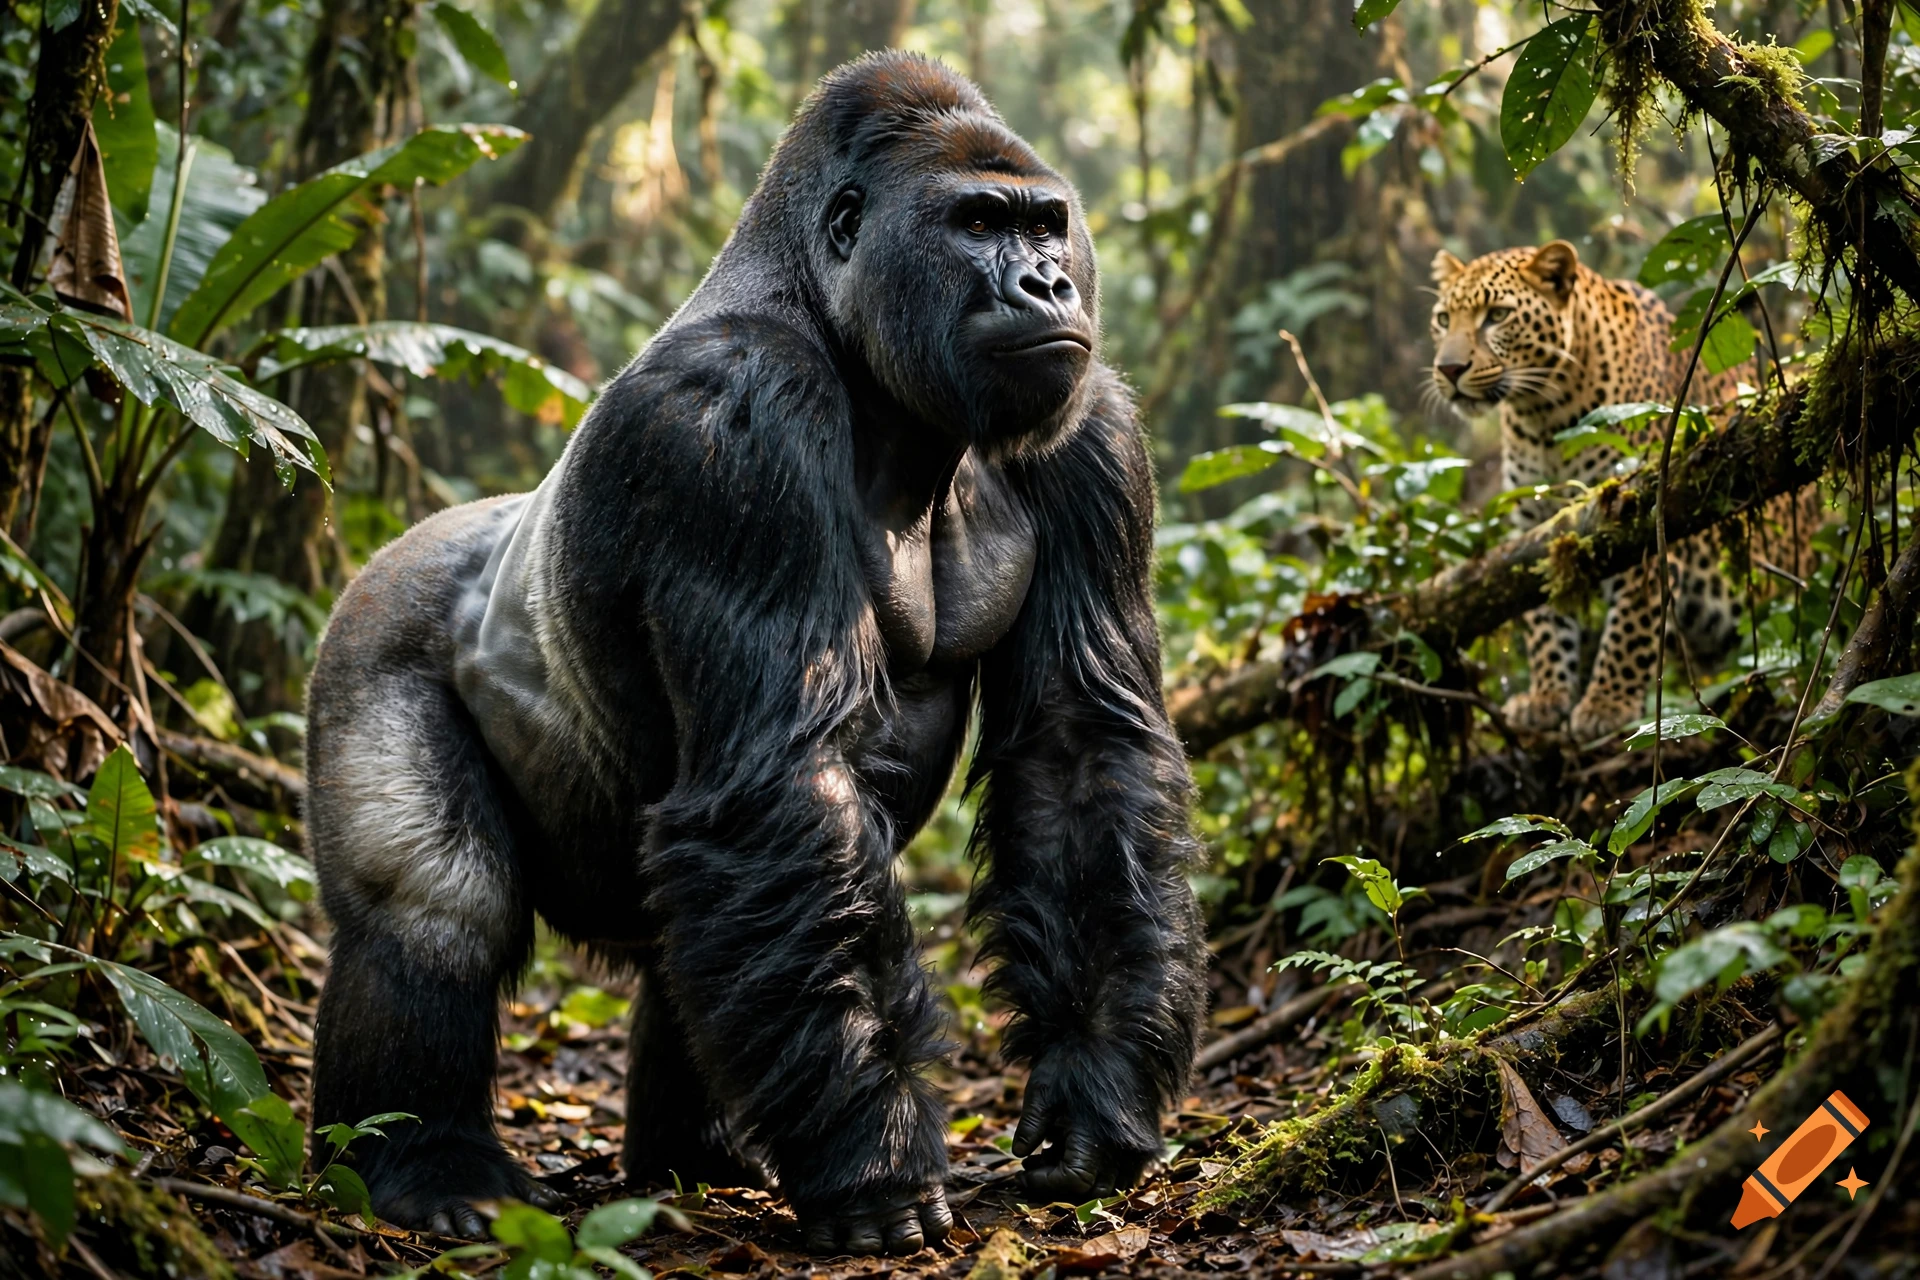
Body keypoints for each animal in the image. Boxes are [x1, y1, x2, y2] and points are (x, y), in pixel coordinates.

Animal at [1427, 239, 1817, 742]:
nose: (1449, 368)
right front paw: (1546, 696)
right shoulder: (1536, 526)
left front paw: (1606, 705)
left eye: (1496, 315)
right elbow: (1543, 619)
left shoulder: (1643, 510)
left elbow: (1633, 622)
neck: (1542, 416)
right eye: (1443, 319)